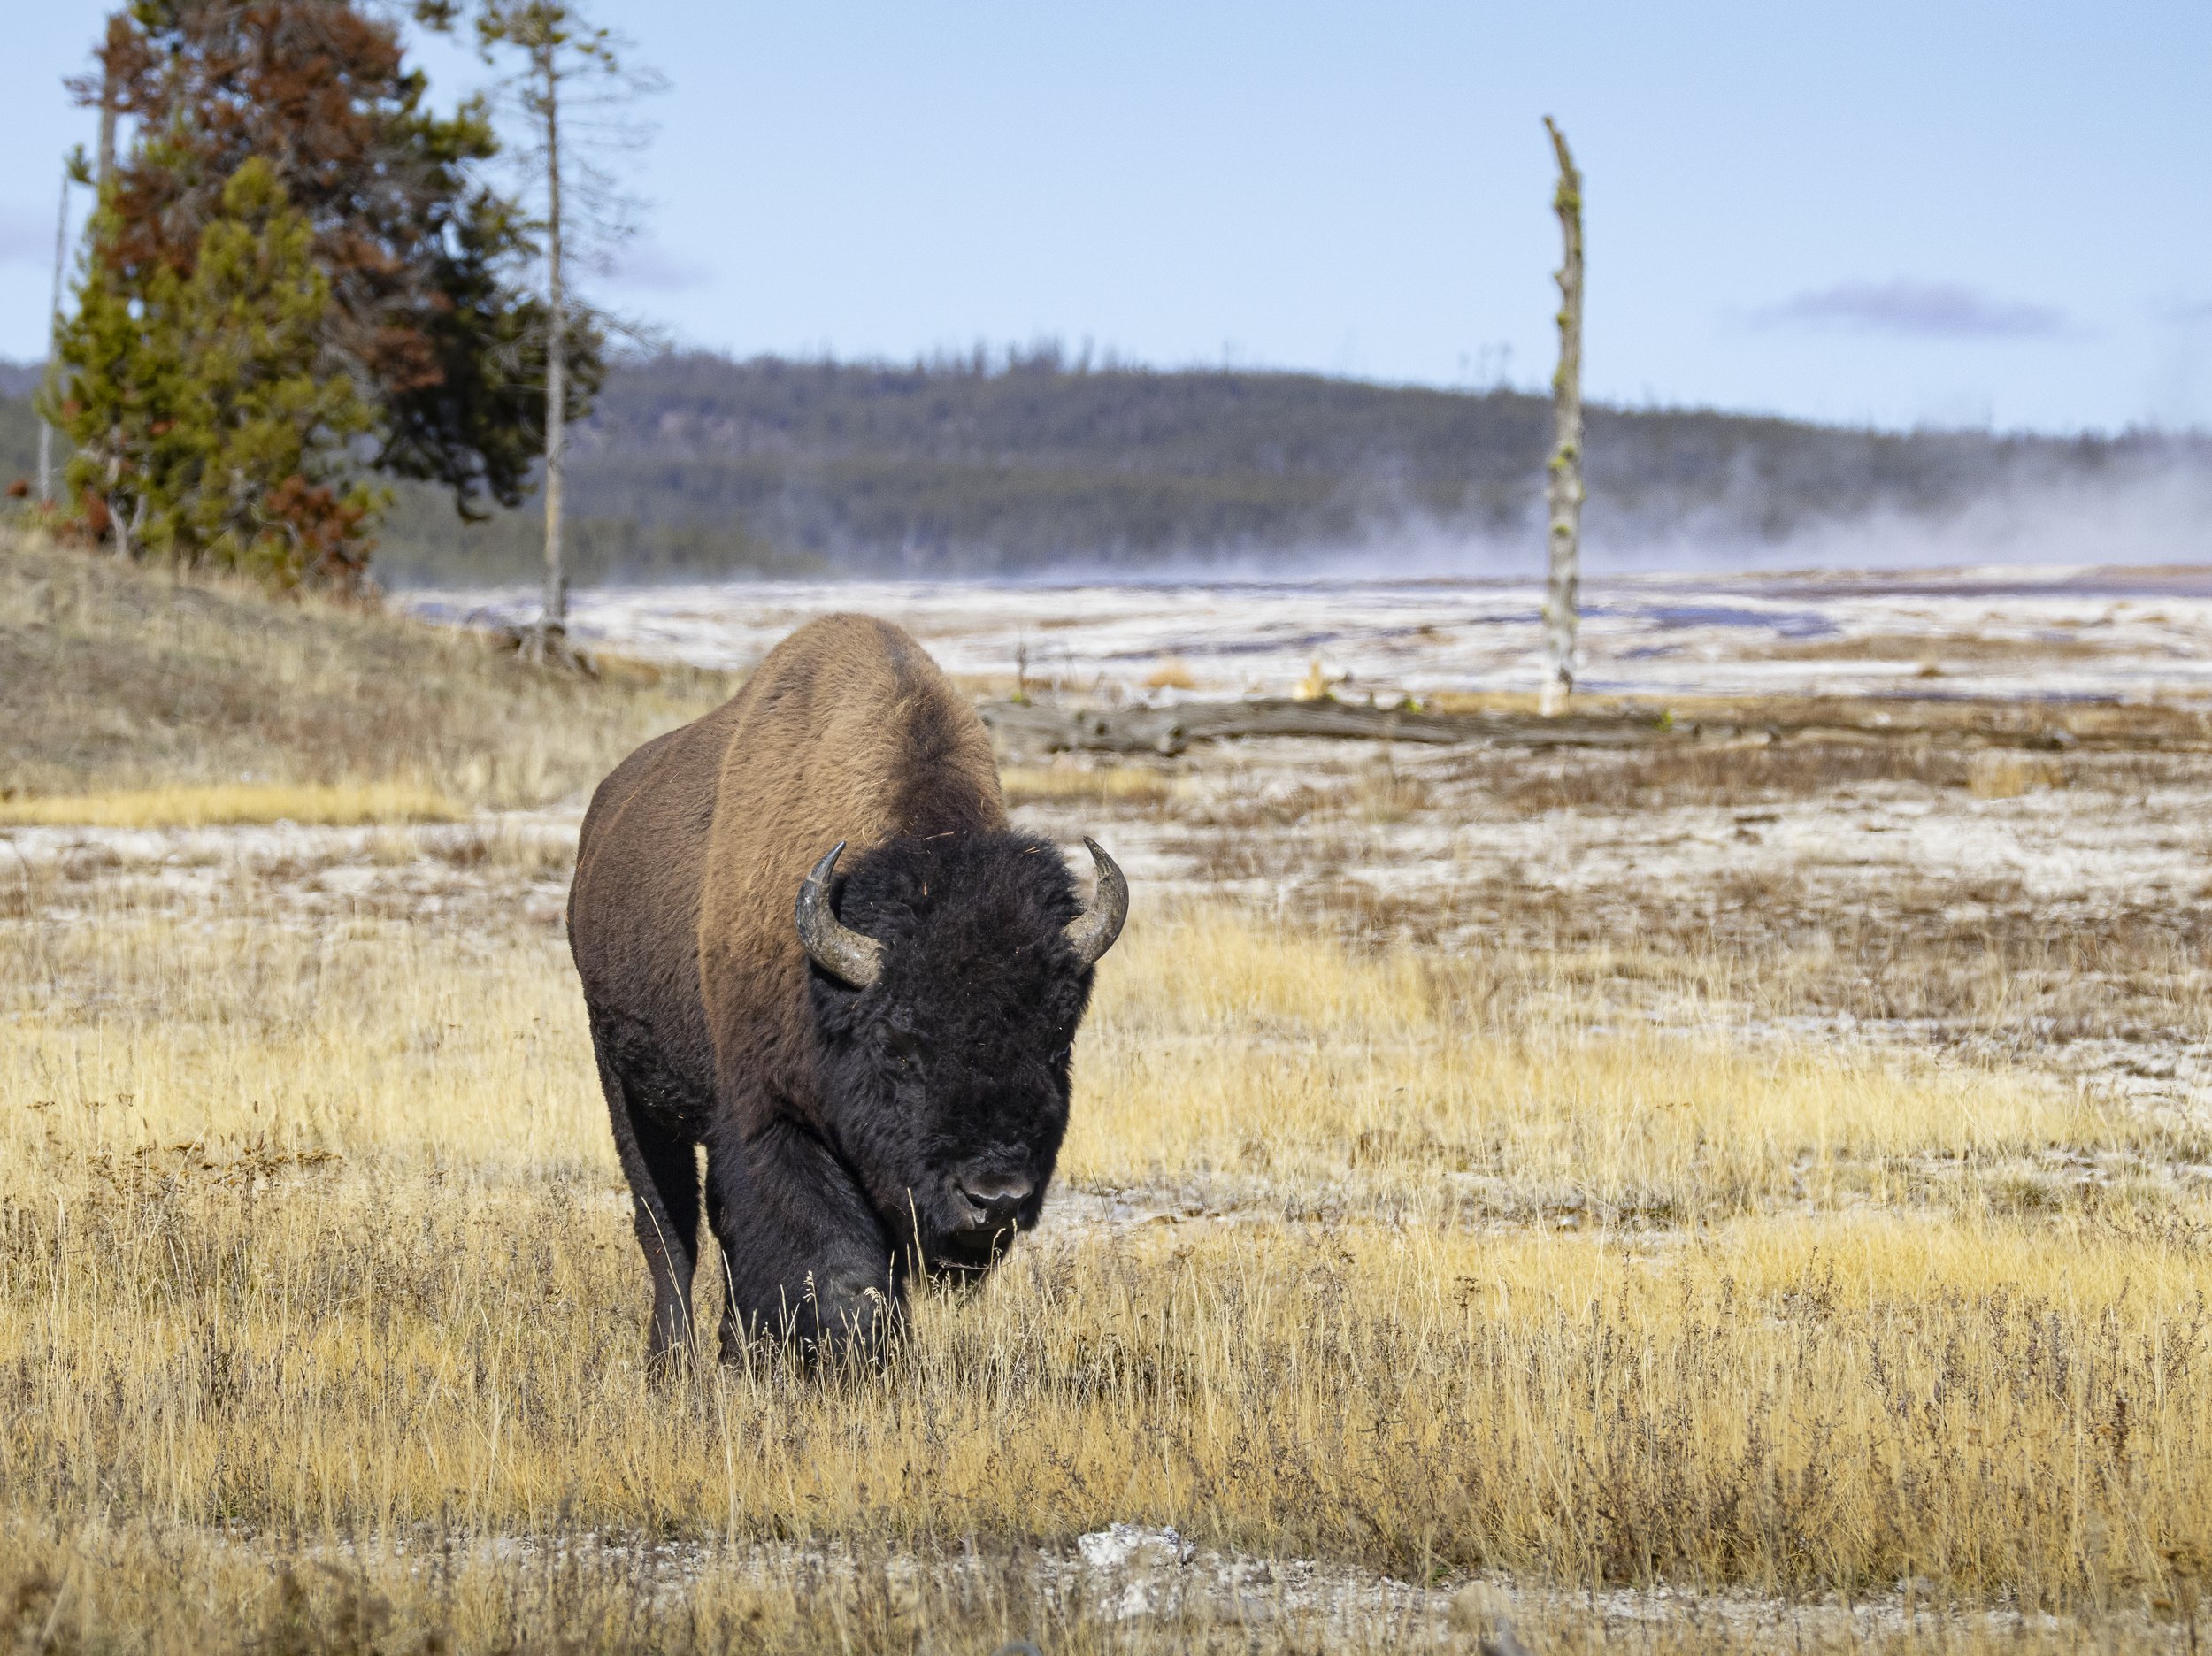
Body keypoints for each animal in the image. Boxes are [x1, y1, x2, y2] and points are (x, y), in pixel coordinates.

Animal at [567, 613, 1126, 1362]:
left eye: (1057, 1039)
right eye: (898, 1045)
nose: (995, 1198)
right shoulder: (773, 1119)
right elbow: (836, 1269)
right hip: (624, 1081)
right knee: (667, 1227)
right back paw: (673, 1362)